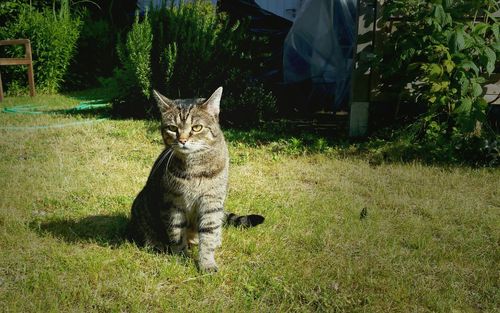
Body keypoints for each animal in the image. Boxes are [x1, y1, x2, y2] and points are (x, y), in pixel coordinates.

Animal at [127, 87, 264, 270]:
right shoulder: (173, 202)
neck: (195, 168)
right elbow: (176, 232)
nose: (183, 140)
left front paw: (207, 262)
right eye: (172, 128)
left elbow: (209, 232)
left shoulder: (211, 201)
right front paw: (181, 256)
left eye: (197, 127)